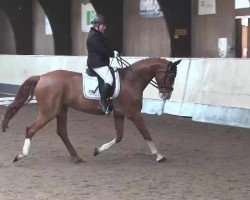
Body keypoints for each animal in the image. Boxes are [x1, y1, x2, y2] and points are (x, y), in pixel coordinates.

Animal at [1, 57, 182, 162]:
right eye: (171, 76)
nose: (166, 95)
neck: (132, 80)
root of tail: (42, 77)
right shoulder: (134, 114)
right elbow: (146, 134)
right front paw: (159, 156)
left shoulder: (119, 114)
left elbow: (119, 137)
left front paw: (97, 151)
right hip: (49, 112)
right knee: (31, 129)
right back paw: (20, 155)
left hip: (61, 110)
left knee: (62, 132)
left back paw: (76, 157)